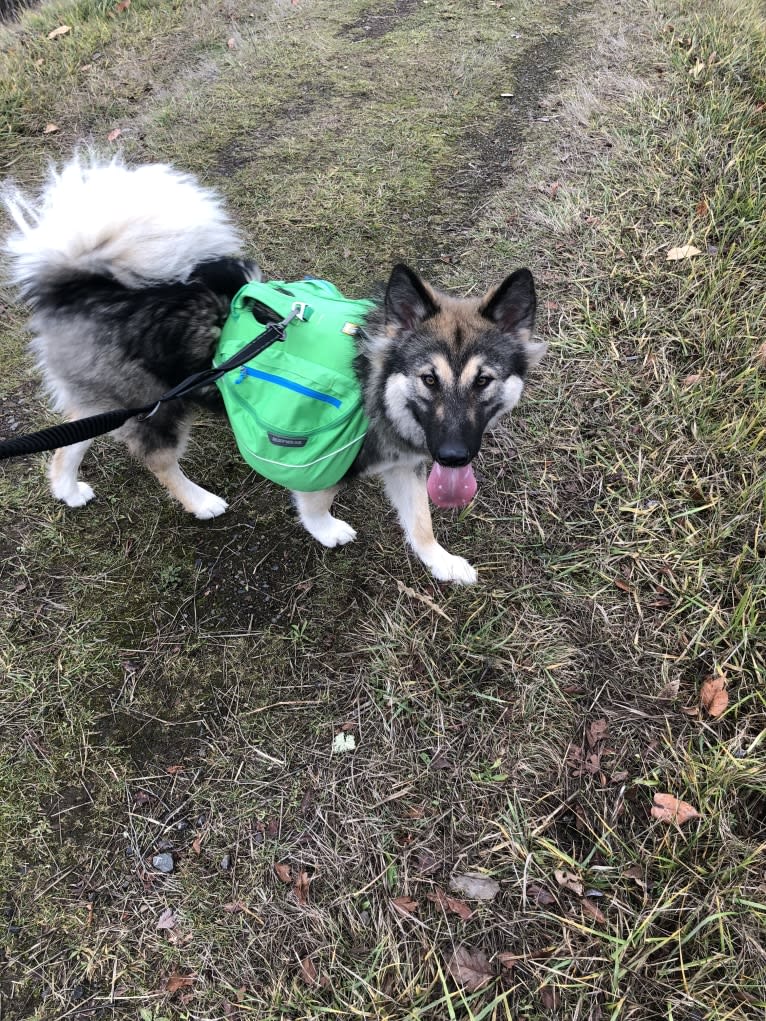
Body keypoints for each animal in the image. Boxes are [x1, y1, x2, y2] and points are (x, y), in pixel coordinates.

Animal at [3, 151, 547, 584]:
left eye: (484, 381)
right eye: (428, 379)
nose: (454, 456)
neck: (372, 384)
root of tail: (85, 281)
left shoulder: (405, 465)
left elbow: (421, 523)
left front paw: (442, 563)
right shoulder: (320, 458)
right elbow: (317, 500)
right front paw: (325, 530)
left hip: (116, 400)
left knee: (71, 435)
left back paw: (66, 487)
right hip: (159, 409)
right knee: (158, 461)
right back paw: (199, 501)